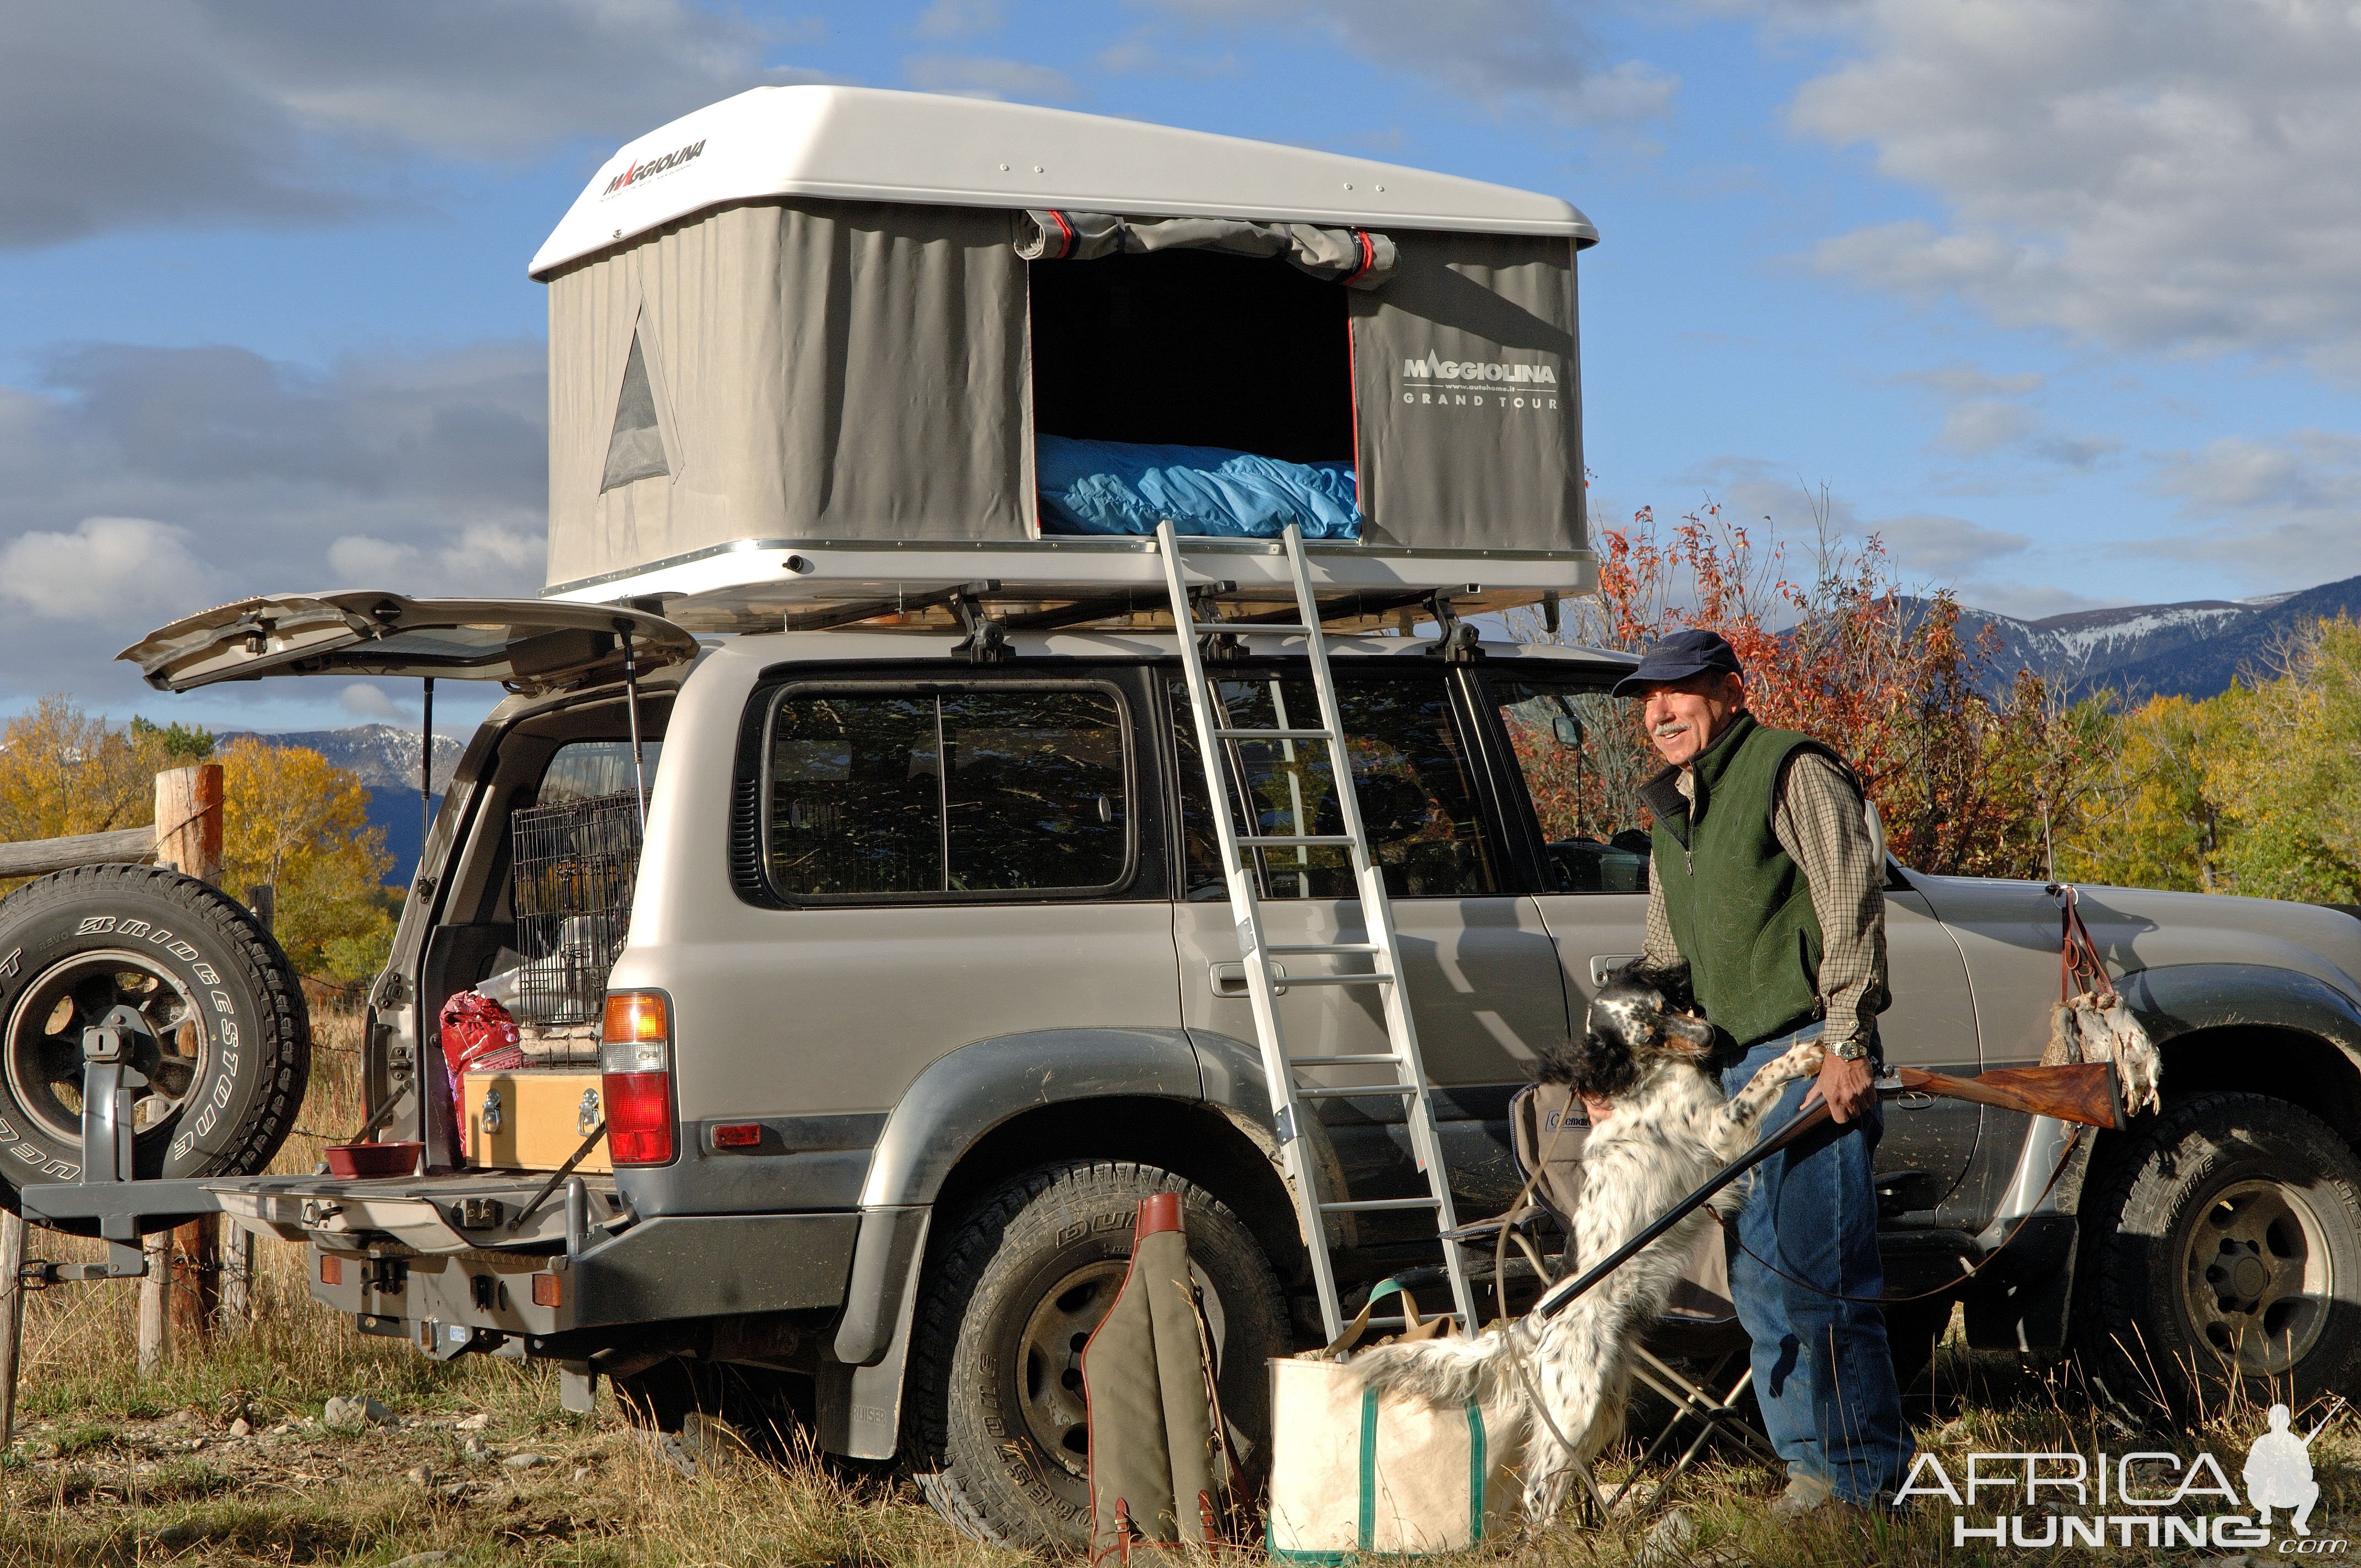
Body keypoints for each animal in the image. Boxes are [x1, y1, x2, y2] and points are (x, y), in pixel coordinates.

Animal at [1350, 963, 1823, 1521]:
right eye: (1647, 1035)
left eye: (1666, 1006)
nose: (1709, 1035)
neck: (1653, 1076)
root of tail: (1534, 1320)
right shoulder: (1717, 1131)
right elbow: (1758, 1081)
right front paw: (1800, 1058)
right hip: (1574, 1407)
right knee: (1537, 1497)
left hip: (1603, 1403)